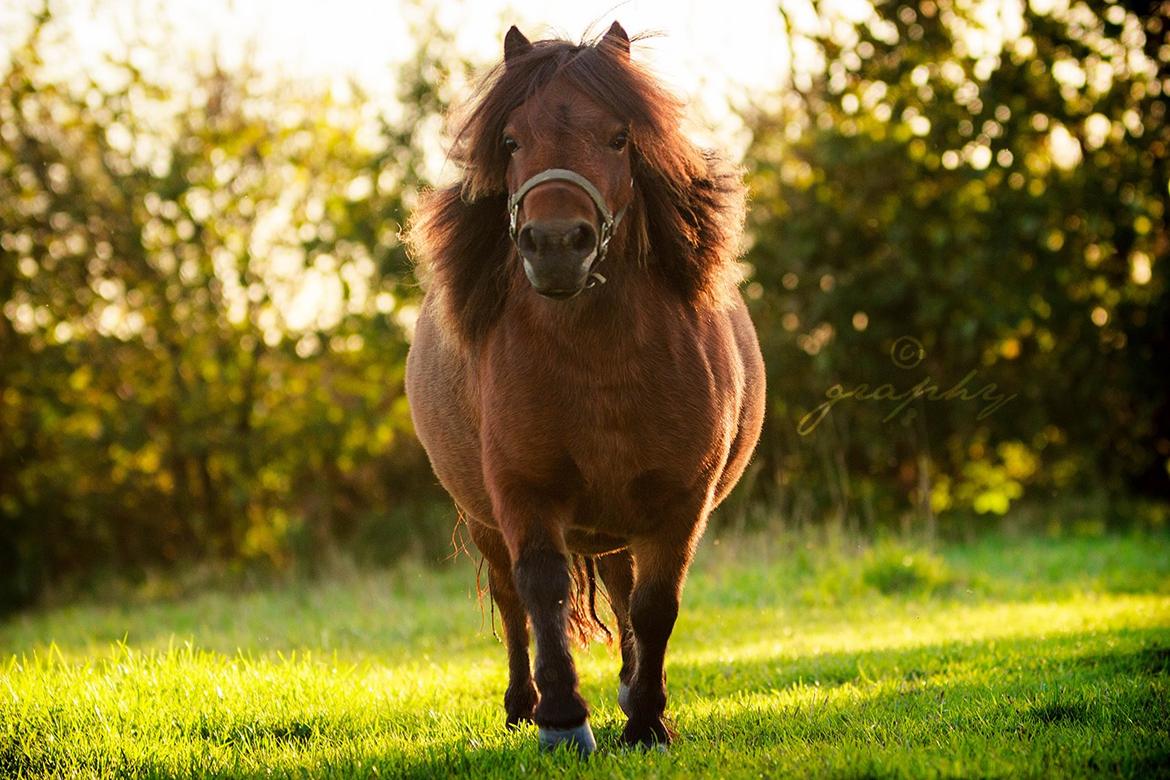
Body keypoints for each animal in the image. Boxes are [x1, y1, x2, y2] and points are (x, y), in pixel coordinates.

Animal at [404, 22, 767, 757]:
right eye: (512, 140)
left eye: (619, 137)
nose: (554, 245)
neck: (599, 362)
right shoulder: (521, 493)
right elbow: (540, 593)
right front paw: (564, 721)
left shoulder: (679, 503)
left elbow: (655, 608)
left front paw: (647, 720)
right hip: (486, 522)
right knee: (511, 604)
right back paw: (521, 706)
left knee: (625, 595)